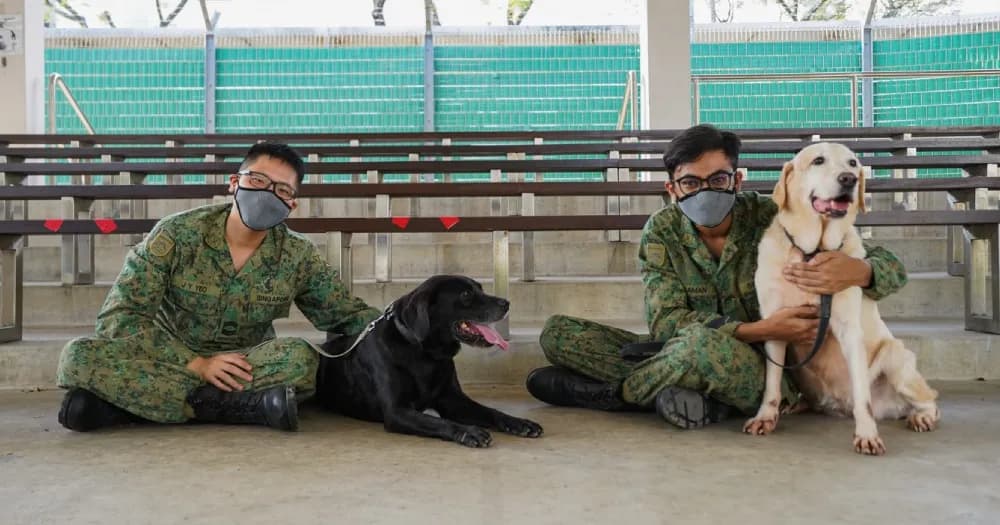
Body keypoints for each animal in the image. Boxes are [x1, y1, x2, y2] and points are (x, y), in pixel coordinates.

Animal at [316, 274, 544, 446]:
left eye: (480, 288)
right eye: (466, 294)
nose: (506, 303)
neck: (425, 354)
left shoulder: (452, 400)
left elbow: (490, 411)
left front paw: (519, 423)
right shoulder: (397, 411)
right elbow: (437, 422)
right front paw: (469, 432)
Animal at [748, 143, 940, 454]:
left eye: (853, 163)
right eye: (818, 160)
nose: (849, 179)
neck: (811, 251)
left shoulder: (850, 332)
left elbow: (863, 396)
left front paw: (867, 434)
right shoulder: (775, 325)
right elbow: (772, 384)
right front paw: (765, 416)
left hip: (896, 357)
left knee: (929, 400)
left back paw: (921, 417)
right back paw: (798, 405)